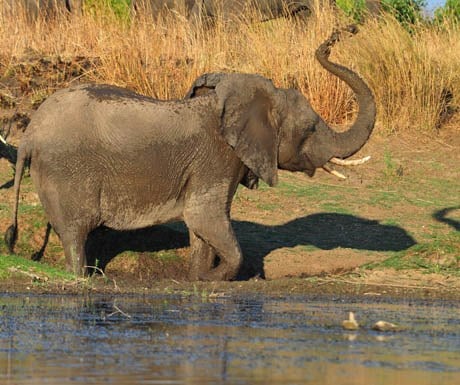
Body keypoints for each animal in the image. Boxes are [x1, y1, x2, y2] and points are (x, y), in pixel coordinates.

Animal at [5, 25, 376, 280]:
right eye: (311, 128)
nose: (339, 35)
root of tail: (29, 134)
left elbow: (200, 226)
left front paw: (196, 277)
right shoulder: (217, 158)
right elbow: (206, 217)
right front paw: (214, 279)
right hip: (65, 171)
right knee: (74, 233)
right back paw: (82, 277)